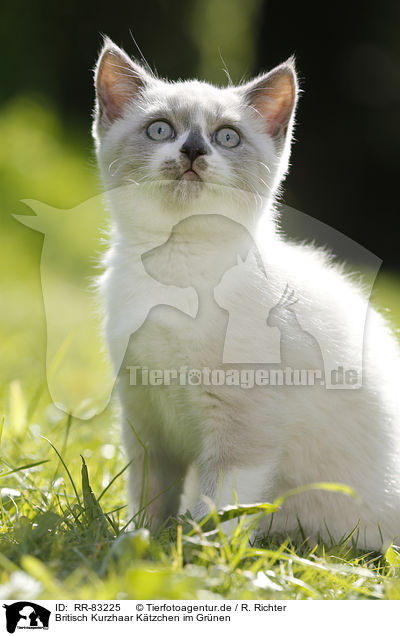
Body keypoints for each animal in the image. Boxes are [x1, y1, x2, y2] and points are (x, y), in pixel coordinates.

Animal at [93, 37, 400, 548]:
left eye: (227, 138)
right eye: (160, 129)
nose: (193, 148)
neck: (178, 267)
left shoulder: (244, 423)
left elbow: (222, 505)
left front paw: (200, 555)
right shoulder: (145, 418)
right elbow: (150, 493)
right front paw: (136, 542)